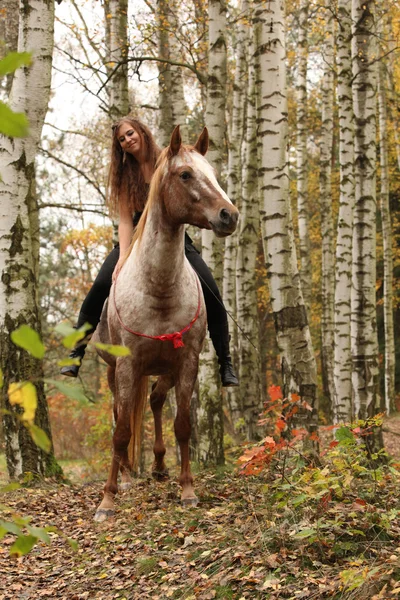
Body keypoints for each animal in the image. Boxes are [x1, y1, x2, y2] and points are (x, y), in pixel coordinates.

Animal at [92, 125, 239, 520]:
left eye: (213, 173)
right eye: (185, 174)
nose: (230, 216)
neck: (157, 287)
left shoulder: (186, 363)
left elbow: (183, 427)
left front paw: (187, 490)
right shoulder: (127, 366)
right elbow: (121, 431)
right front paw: (108, 499)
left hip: (166, 368)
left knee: (157, 401)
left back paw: (158, 467)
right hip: (114, 371)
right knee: (122, 413)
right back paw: (128, 476)